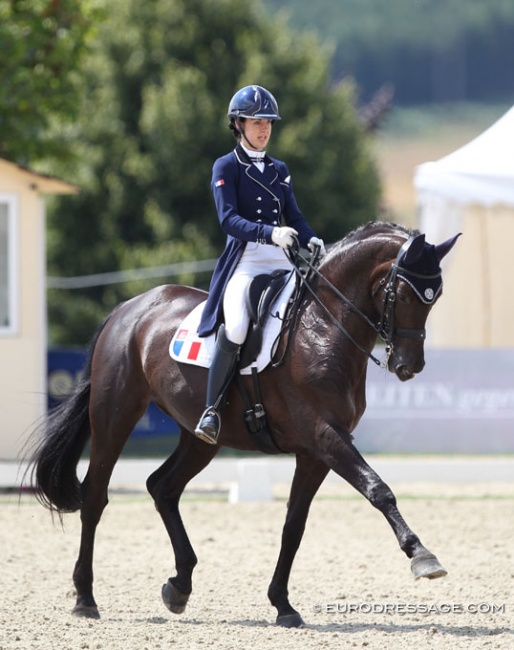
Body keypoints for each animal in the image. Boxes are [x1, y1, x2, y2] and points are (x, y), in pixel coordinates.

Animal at [28, 220, 458, 624]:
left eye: (436, 298)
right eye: (404, 294)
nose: (409, 366)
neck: (322, 327)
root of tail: (128, 309)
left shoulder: (316, 452)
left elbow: (294, 526)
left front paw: (283, 605)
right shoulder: (325, 436)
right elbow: (378, 489)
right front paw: (422, 556)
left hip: (200, 439)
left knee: (162, 487)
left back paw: (179, 586)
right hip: (115, 416)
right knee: (95, 497)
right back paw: (86, 599)